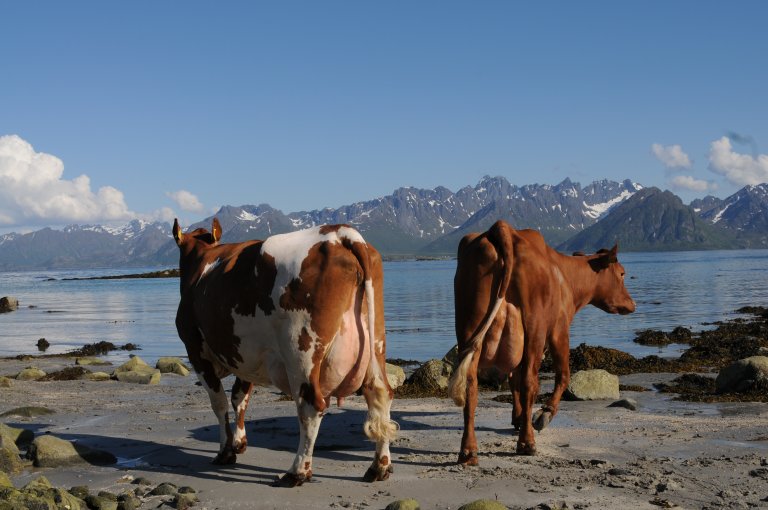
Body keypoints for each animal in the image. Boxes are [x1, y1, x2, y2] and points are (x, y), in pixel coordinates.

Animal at [172, 219, 396, 486]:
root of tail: (340, 233)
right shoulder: (245, 357)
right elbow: (239, 397)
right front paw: (238, 443)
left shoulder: (196, 349)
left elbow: (219, 402)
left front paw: (225, 451)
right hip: (375, 341)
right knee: (379, 394)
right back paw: (379, 467)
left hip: (300, 350)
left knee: (311, 405)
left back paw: (297, 471)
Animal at [444, 219, 636, 462]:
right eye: (622, 273)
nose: (632, 304)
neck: (566, 277)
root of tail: (502, 227)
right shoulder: (559, 330)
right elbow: (562, 375)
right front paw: (544, 414)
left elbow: (513, 380)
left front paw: (518, 418)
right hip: (534, 329)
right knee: (529, 381)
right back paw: (527, 443)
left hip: (468, 325)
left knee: (471, 384)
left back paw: (468, 451)